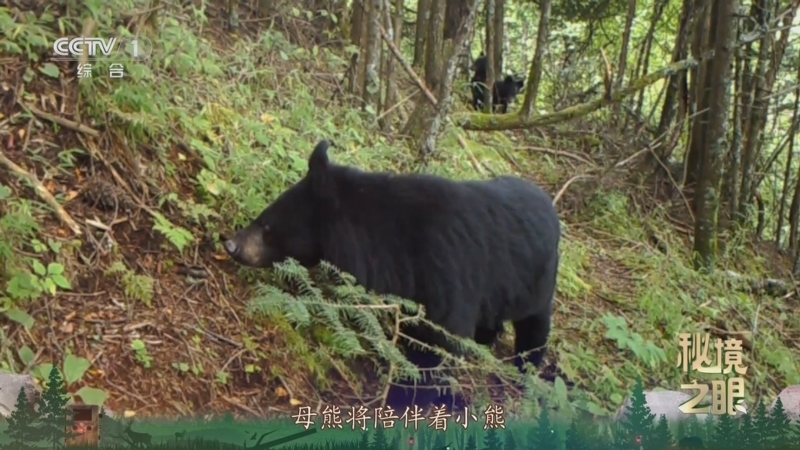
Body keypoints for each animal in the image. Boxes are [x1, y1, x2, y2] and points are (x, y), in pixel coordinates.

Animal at [222, 140, 561, 409]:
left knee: (534, 330)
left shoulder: (446, 269)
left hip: (538, 283)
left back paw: (525, 374)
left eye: (267, 225)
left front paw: (409, 395)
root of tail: (550, 205)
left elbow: (442, 338)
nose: (230, 244)